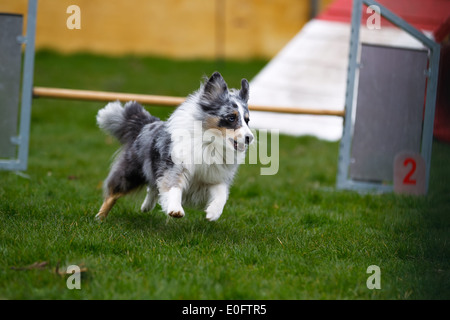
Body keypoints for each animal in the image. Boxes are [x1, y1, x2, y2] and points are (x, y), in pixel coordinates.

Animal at [95, 72, 253, 222]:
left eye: (247, 120)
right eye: (231, 118)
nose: (249, 138)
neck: (210, 143)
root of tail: (146, 124)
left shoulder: (214, 175)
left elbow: (222, 194)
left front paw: (213, 213)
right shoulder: (175, 166)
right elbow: (173, 186)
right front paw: (175, 210)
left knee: (153, 187)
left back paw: (146, 207)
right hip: (131, 173)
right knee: (113, 193)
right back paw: (100, 218)